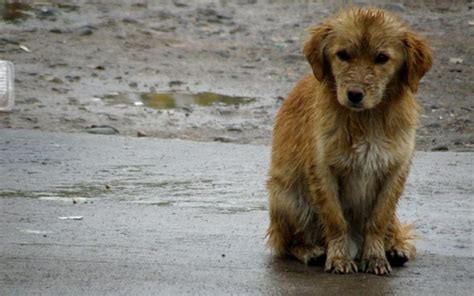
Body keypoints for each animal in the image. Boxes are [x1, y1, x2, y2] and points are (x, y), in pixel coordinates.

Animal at [266, 7, 434, 276]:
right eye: (343, 54)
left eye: (382, 58)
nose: (354, 94)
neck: (367, 119)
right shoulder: (323, 171)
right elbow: (336, 221)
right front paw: (339, 257)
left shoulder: (394, 171)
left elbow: (377, 220)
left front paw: (375, 257)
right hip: (288, 198)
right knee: (287, 243)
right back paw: (311, 251)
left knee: (395, 229)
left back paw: (396, 248)